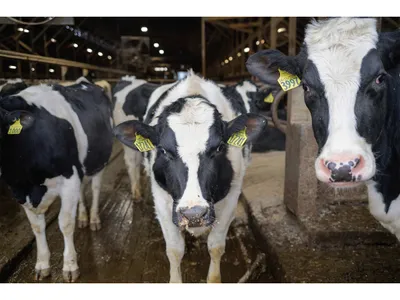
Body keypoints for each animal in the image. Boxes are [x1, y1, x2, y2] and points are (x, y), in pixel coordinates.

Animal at [0, 79, 114, 282]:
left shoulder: (69, 180)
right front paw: (42, 263)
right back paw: (83, 217)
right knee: (82, 192)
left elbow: (65, 223)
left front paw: (70, 266)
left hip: (99, 162)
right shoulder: (19, 190)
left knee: (95, 189)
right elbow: (37, 227)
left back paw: (93, 219)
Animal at [114, 71, 268, 282]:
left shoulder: (231, 196)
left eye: (219, 148)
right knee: (132, 164)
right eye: (163, 150)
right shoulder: (162, 201)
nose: (193, 214)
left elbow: (216, 246)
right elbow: (174, 250)